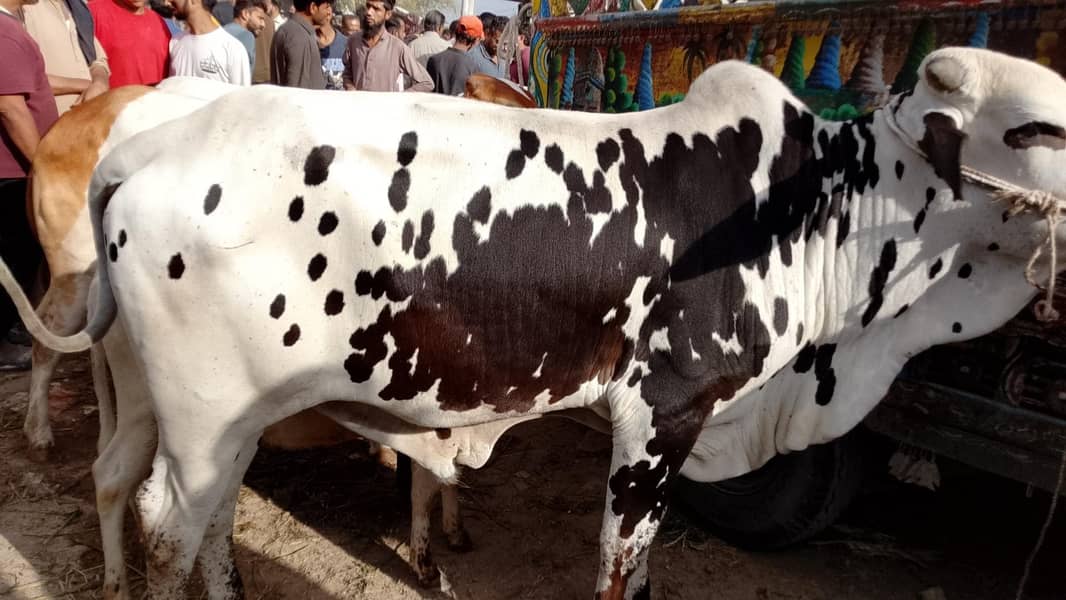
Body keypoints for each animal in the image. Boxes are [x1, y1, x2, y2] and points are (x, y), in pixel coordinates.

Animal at [5, 48, 1065, 599]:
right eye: (1035, 131)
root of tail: (143, 144)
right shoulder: (662, 413)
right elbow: (621, 568)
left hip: (185, 410)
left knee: (165, 502)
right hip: (202, 416)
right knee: (171, 527)